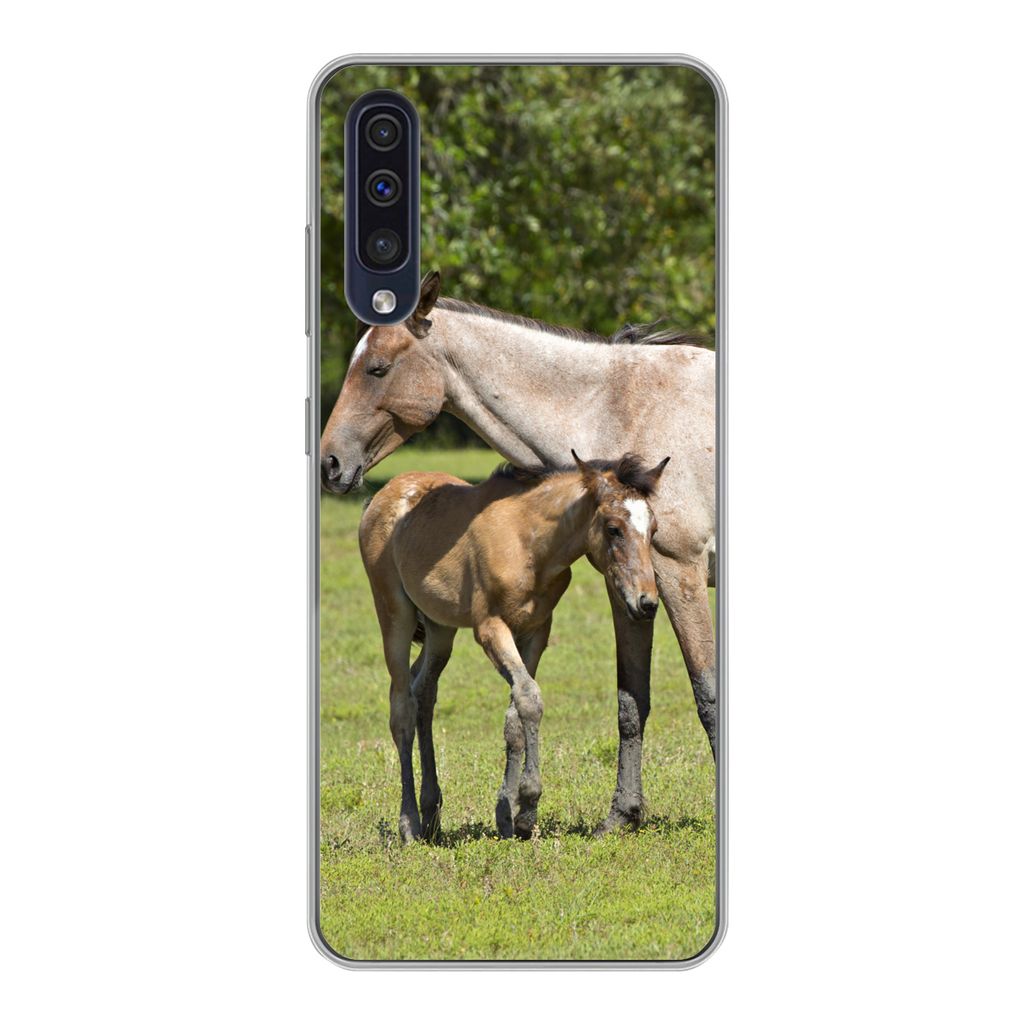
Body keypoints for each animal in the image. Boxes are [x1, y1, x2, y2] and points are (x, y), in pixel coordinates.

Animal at [359, 452, 668, 842]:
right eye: (613, 528)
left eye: (653, 530)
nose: (647, 603)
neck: (529, 544)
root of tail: (382, 494)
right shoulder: (490, 628)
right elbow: (530, 699)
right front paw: (528, 804)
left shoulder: (536, 631)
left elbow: (515, 715)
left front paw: (509, 816)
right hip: (393, 612)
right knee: (401, 706)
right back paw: (410, 823)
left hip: (440, 627)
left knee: (423, 692)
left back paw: (431, 813)